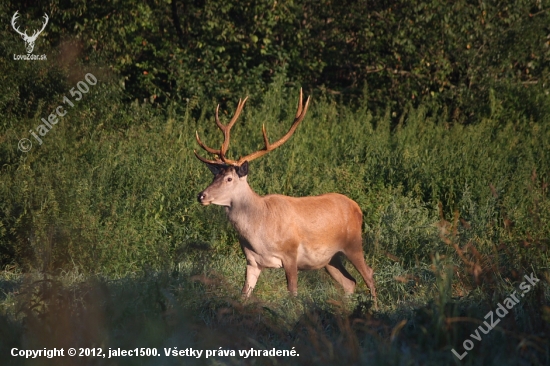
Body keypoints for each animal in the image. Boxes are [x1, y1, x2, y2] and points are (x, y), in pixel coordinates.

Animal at [195, 90, 380, 308]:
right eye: (214, 176)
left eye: (229, 178)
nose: (201, 195)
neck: (259, 228)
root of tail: (357, 207)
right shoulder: (251, 260)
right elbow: (244, 293)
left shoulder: (291, 253)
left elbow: (293, 292)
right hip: (330, 258)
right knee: (350, 282)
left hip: (353, 243)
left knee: (368, 274)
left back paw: (374, 307)